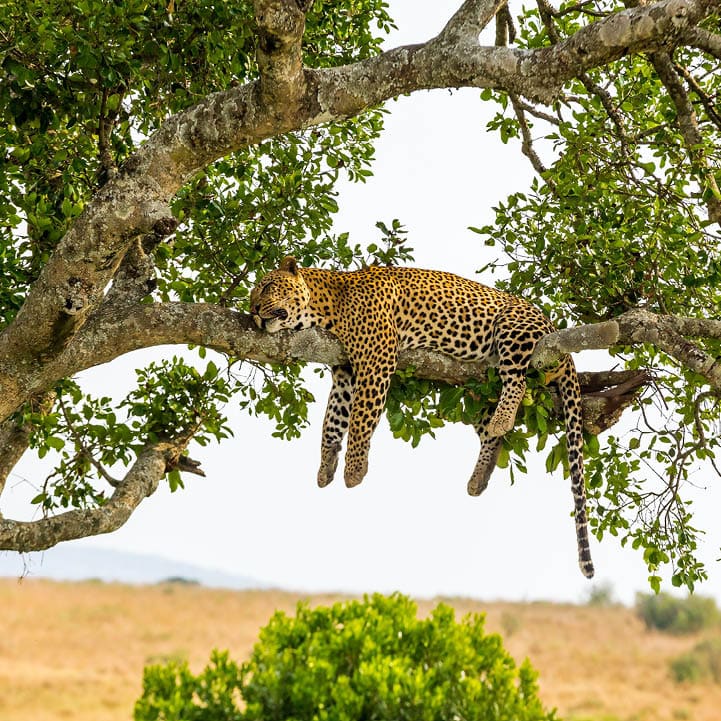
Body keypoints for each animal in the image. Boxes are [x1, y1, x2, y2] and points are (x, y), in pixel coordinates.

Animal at [250, 256, 595, 578]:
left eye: (267, 286)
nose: (252, 308)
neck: (327, 306)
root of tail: (553, 327)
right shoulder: (345, 372)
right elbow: (332, 422)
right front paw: (325, 467)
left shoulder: (377, 359)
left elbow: (361, 418)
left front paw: (354, 471)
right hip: (477, 388)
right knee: (490, 433)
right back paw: (479, 476)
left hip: (513, 328)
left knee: (518, 382)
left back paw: (502, 420)